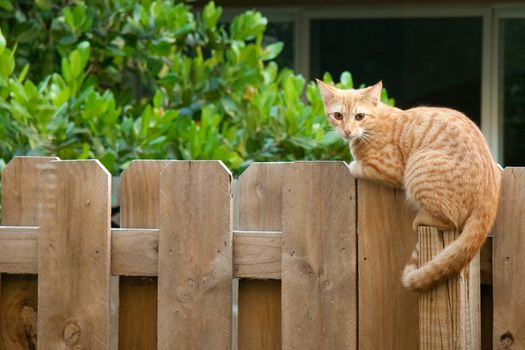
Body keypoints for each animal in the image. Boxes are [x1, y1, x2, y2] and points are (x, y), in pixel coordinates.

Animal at [316, 79, 500, 290]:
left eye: (359, 116)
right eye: (338, 116)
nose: (347, 131)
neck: (374, 124)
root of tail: (489, 198)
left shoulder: (389, 168)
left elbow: (357, 166)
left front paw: (352, 164)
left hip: (417, 169)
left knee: (450, 220)